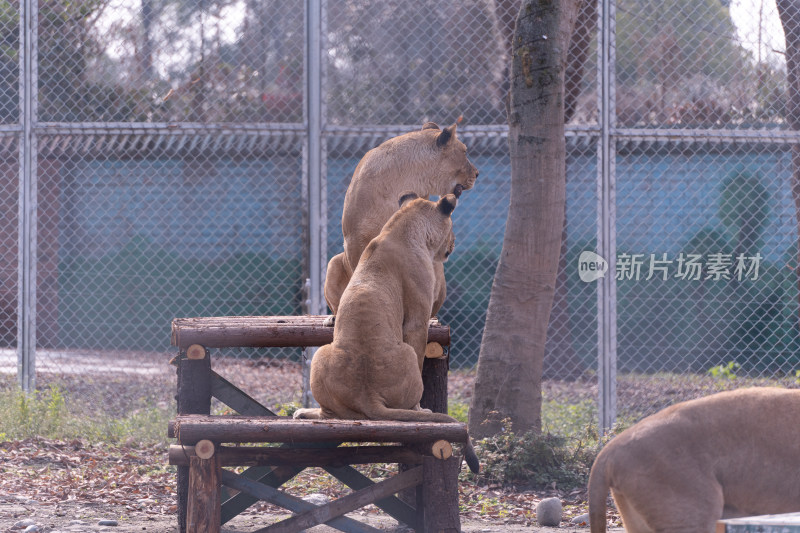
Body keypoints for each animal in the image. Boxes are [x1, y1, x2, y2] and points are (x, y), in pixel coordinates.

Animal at [296, 193, 478, 472]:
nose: (453, 243)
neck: (401, 227)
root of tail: (367, 396)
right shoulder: (417, 318)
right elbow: (420, 351)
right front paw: (421, 409)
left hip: (322, 355)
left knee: (330, 413)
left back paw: (303, 412)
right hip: (405, 352)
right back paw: (421, 412)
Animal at [324, 121, 478, 324]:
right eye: (465, 151)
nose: (477, 173)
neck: (411, 176)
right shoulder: (354, 238)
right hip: (334, 261)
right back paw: (334, 318)